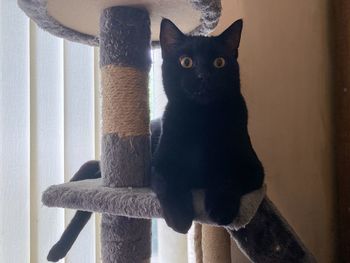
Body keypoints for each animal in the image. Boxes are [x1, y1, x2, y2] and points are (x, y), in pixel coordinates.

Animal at [152, 18, 264, 234]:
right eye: (186, 62)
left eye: (219, 62)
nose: (203, 75)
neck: (201, 119)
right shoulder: (159, 163)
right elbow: (168, 181)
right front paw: (180, 217)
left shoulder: (252, 168)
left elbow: (228, 177)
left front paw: (220, 209)